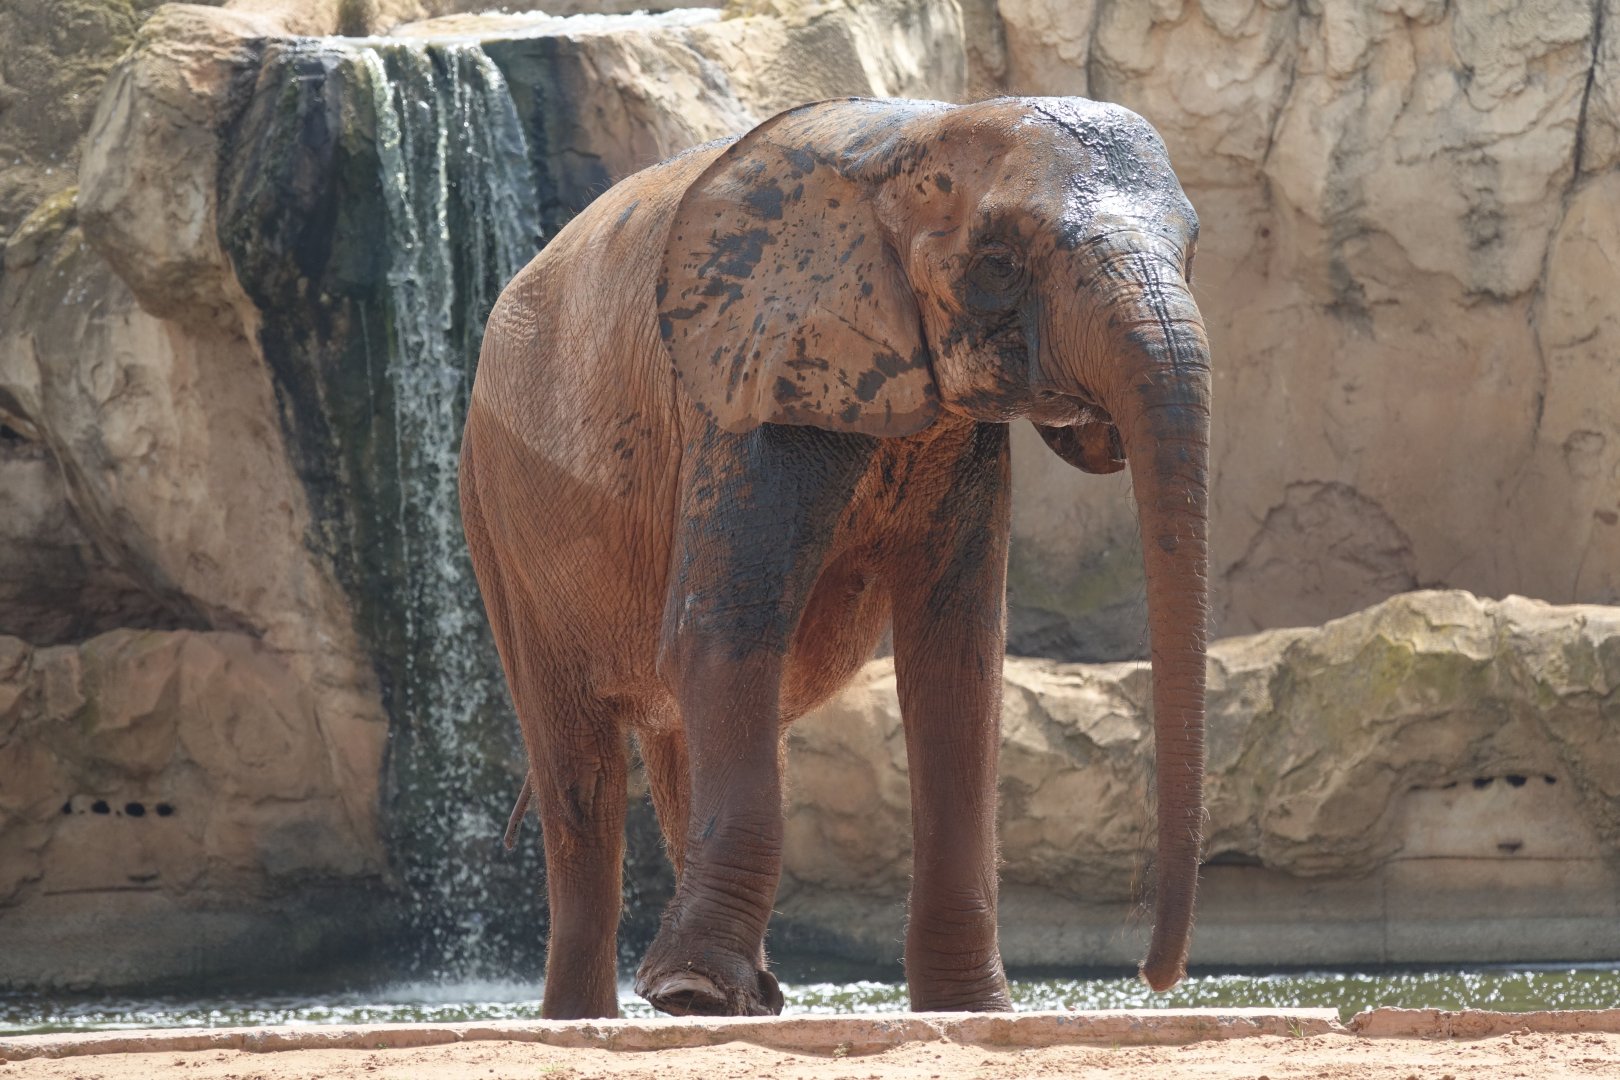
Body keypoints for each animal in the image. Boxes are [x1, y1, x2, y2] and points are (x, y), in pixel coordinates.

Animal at [458, 96, 1210, 1020]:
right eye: (999, 262)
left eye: (1192, 249)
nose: (1155, 975)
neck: (910, 139)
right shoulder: (748, 383)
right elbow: (721, 631)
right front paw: (694, 993)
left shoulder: (954, 434)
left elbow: (959, 666)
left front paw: (969, 1011)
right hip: (497, 512)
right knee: (580, 775)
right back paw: (627, 1011)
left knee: (673, 743)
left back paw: (740, 999)